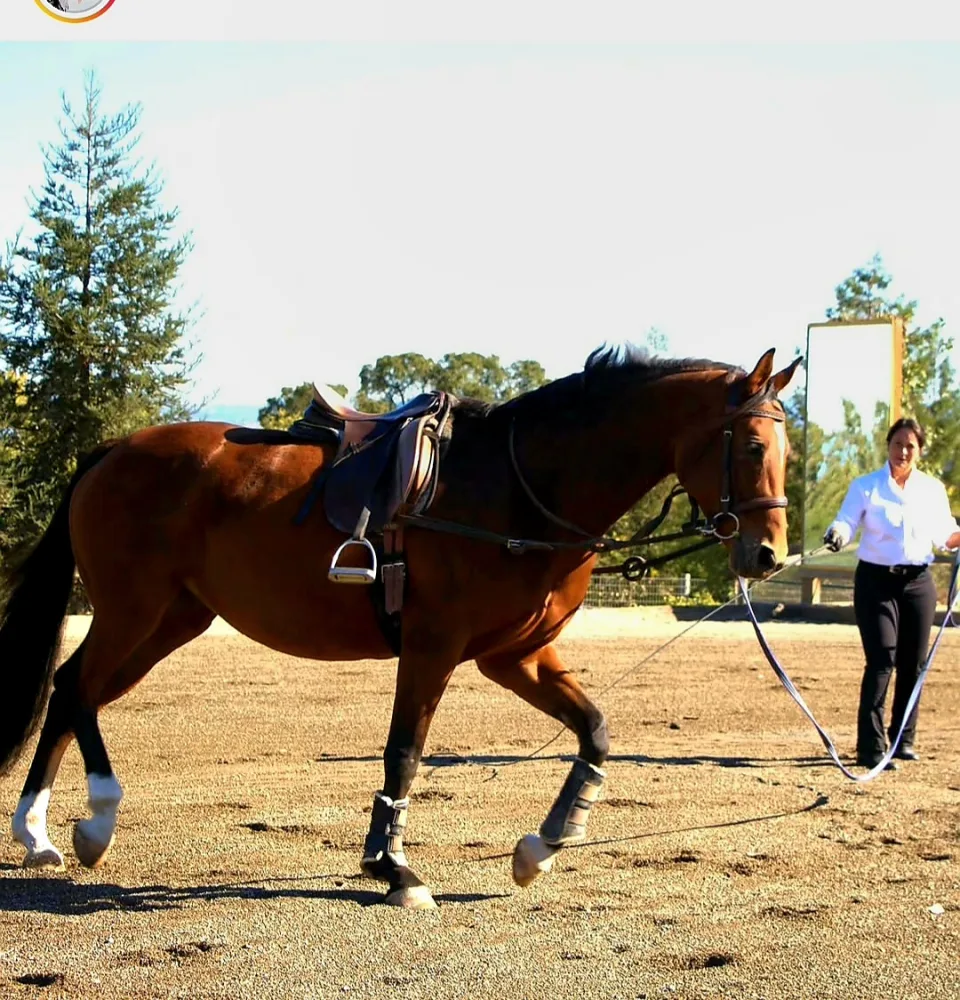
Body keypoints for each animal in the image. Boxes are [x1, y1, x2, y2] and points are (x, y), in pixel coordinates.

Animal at [0, 345, 800, 909]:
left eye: (786, 450)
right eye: (752, 447)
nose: (767, 554)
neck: (521, 487)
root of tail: (114, 451)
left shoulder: (518, 655)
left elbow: (595, 730)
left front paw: (546, 842)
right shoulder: (432, 647)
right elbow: (404, 754)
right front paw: (393, 868)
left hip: (171, 621)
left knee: (72, 691)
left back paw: (41, 832)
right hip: (134, 611)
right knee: (76, 688)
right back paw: (90, 820)